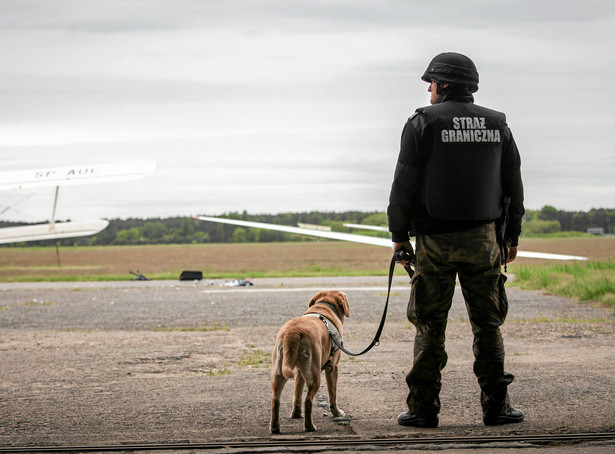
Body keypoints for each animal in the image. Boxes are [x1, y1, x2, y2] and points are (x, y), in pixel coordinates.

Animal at [270, 290, 352, 432]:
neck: (324, 306)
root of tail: (293, 332)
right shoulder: (333, 367)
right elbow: (333, 394)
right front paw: (336, 412)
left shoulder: (299, 372)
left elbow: (297, 394)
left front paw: (296, 414)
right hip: (314, 373)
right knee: (308, 400)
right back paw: (309, 426)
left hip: (280, 370)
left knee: (276, 399)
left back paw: (275, 428)